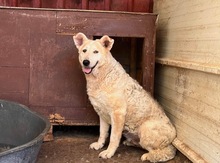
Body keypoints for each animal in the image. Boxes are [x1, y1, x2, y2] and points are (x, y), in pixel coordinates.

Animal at [73, 32, 176, 162]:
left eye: (96, 52)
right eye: (84, 50)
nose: (86, 62)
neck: (102, 77)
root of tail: (174, 135)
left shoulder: (118, 114)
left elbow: (113, 137)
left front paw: (109, 152)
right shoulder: (102, 114)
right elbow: (102, 133)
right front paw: (99, 145)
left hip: (145, 129)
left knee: (167, 152)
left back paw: (148, 156)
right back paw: (131, 142)